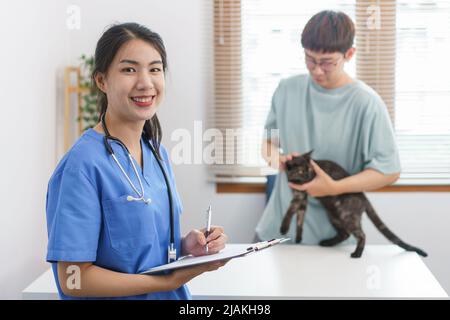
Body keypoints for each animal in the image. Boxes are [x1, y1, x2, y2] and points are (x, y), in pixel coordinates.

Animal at [280, 151, 428, 258]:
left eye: (310, 169)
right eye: (302, 170)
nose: (310, 175)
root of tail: (364, 197)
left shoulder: (300, 196)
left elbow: (290, 211)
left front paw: (283, 229)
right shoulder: (302, 198)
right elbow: (300, 218)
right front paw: (298, 237)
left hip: (346, 216)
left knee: (361, 235)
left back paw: (357, 254)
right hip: (333, 216)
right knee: (344, 234)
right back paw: (327, 243)